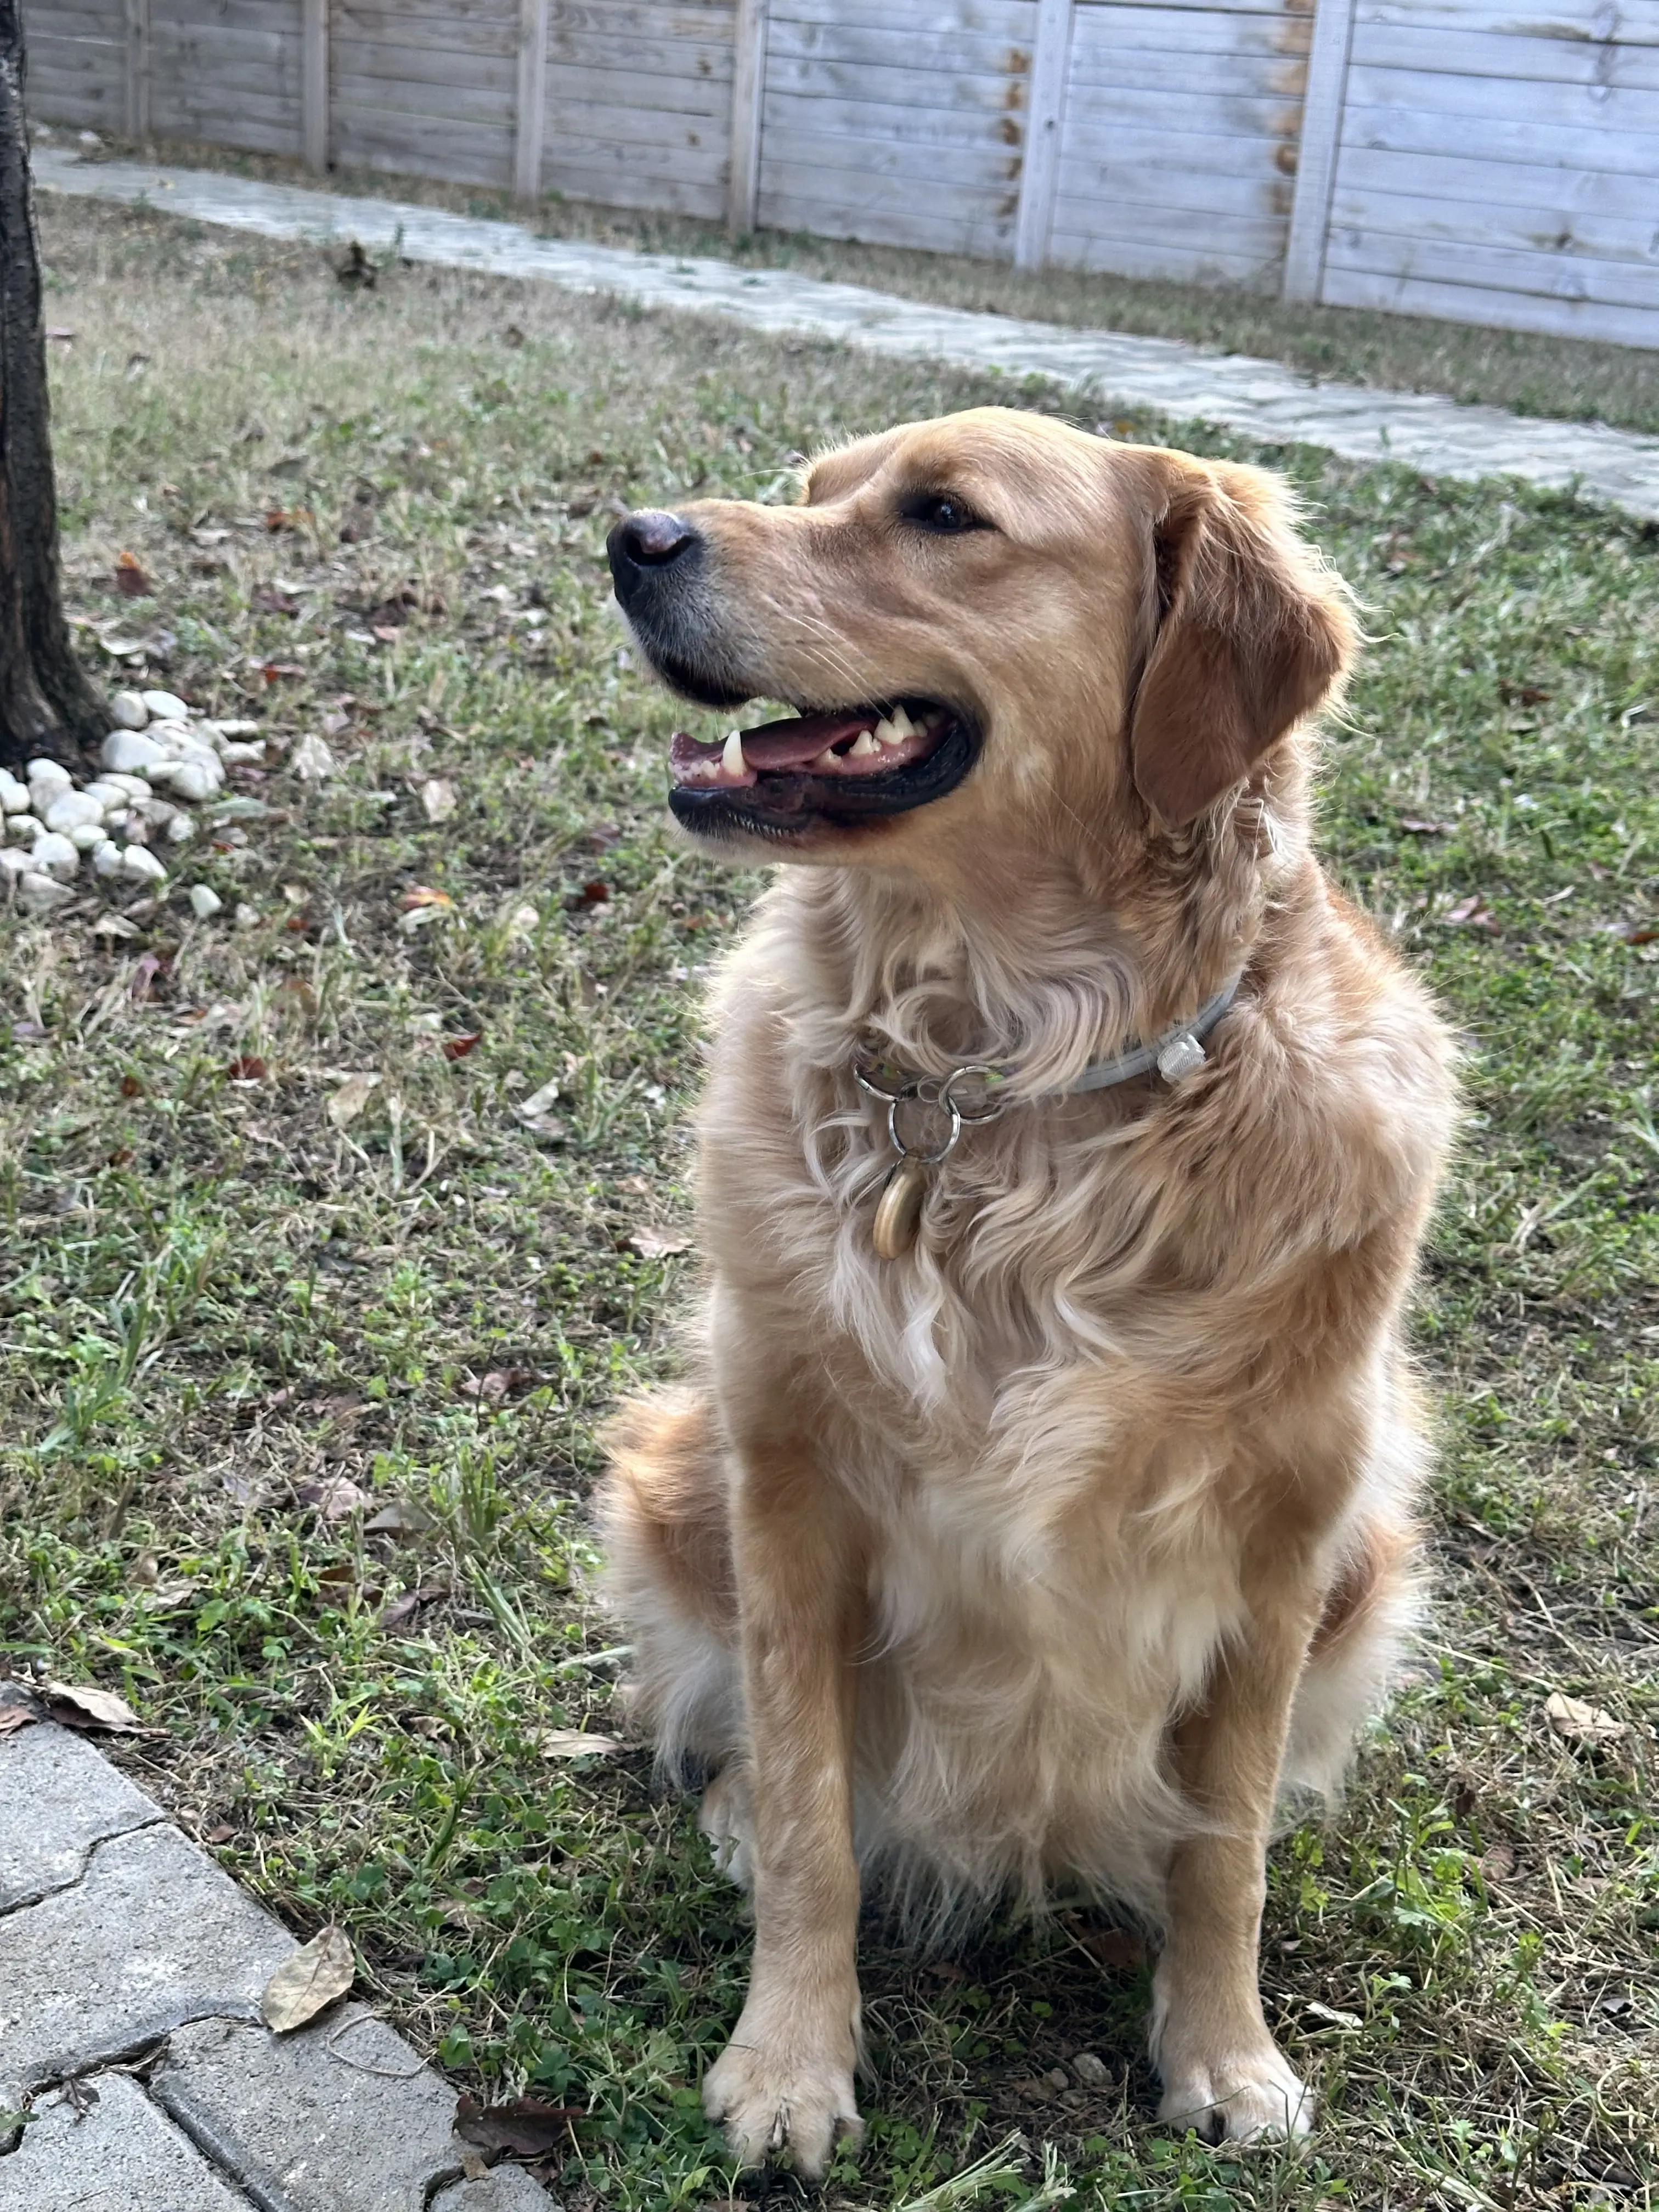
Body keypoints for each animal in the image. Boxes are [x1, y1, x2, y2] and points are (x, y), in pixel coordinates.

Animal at [597, 407, 1451, 2168]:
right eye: (811, 491)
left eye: (943, 515)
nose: (632, 539)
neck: (1008, 1085)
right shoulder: (790, 1480)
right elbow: (812, 1807)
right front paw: (789, 2063)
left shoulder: (1286, 1532)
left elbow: (1226, 1845)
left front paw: (1226, 2053)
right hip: (676, 1466)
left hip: (1374, 1562)